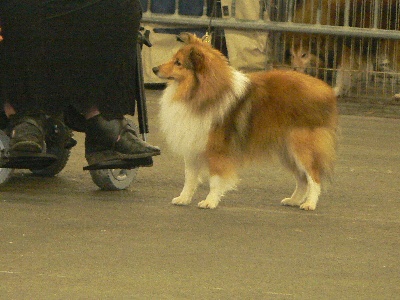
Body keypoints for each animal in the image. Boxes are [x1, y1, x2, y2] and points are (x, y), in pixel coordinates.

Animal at [153, 32, 338, 210]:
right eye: (173, 58)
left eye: (178, 63)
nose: (154, 69)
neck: (201, 92)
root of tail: (326, 89)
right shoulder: (193, 146)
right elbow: (190, 179)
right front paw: (183, 199)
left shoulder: (217, 150)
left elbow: (215, 180)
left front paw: (209, 202)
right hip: (286, 150)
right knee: (302, 179)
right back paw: (293, 200)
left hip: (302, 146)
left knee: (314, 176)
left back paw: (309, 204)